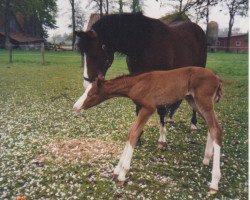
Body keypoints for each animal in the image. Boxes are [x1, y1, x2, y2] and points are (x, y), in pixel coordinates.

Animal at [73, 67, 224, 192]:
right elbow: (131, 132)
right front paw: (117, 169)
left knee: (216, 129)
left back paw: (214, 182)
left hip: (203, 100)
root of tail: (217, 77)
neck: (136, 84)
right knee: (211, 127)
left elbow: (134, 133)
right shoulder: (143, 108)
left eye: (91, 94)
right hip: (193, 101)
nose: (75, 107)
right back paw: (206, 158)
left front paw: (122, 173)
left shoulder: (148, 108)